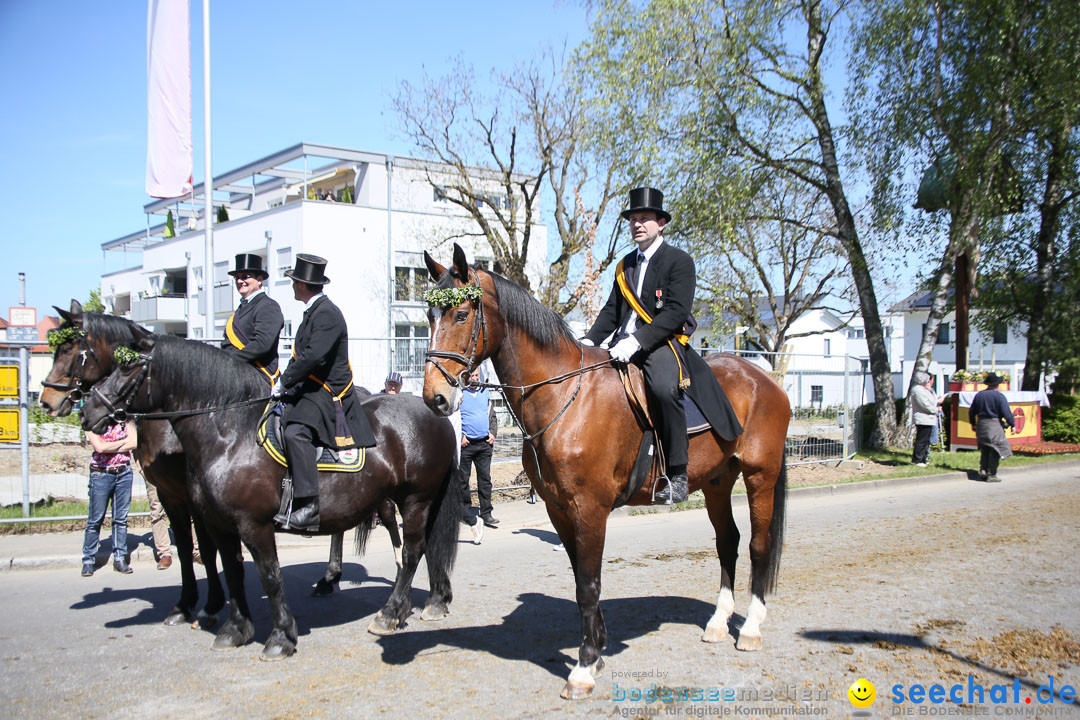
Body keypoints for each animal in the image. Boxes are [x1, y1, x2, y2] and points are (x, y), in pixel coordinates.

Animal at [78, 325, 460, 660]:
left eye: (127, 365)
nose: (87, 412)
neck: (231, 434)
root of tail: (433, 412)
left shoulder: (253, 525)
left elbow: (270, 577)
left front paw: (280, 638)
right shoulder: (219, 523)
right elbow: (233, 572)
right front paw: (234, 630)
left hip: (416, 499)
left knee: (412, 552)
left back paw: (390, 613)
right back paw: (425, 602)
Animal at [423, 246, 794, 699]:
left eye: (461, 314)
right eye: (428, 315)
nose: (435, 398)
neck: (564, 394)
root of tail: (765, 378)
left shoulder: (590, 508)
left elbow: (589, 584)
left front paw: (583, 667)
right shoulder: (559, 510)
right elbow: (581, 579)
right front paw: (596, 651)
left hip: (761, 476)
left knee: (759, 545)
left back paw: (752, 627)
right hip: (718, 483)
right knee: (729, 542)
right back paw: (719, 622)